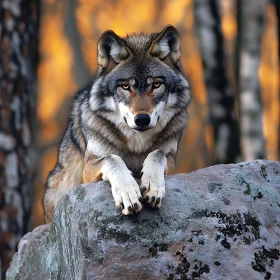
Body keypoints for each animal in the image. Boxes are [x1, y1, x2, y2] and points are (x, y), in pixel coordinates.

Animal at [42, 25, 191, 222]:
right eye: (126, 86)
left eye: (156, 84)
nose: (142, 119)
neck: (136, 144)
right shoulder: (89, 168)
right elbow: (112, 158)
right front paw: (128, 193)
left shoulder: (172, 161)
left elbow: (157, 153)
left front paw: (152, 186)